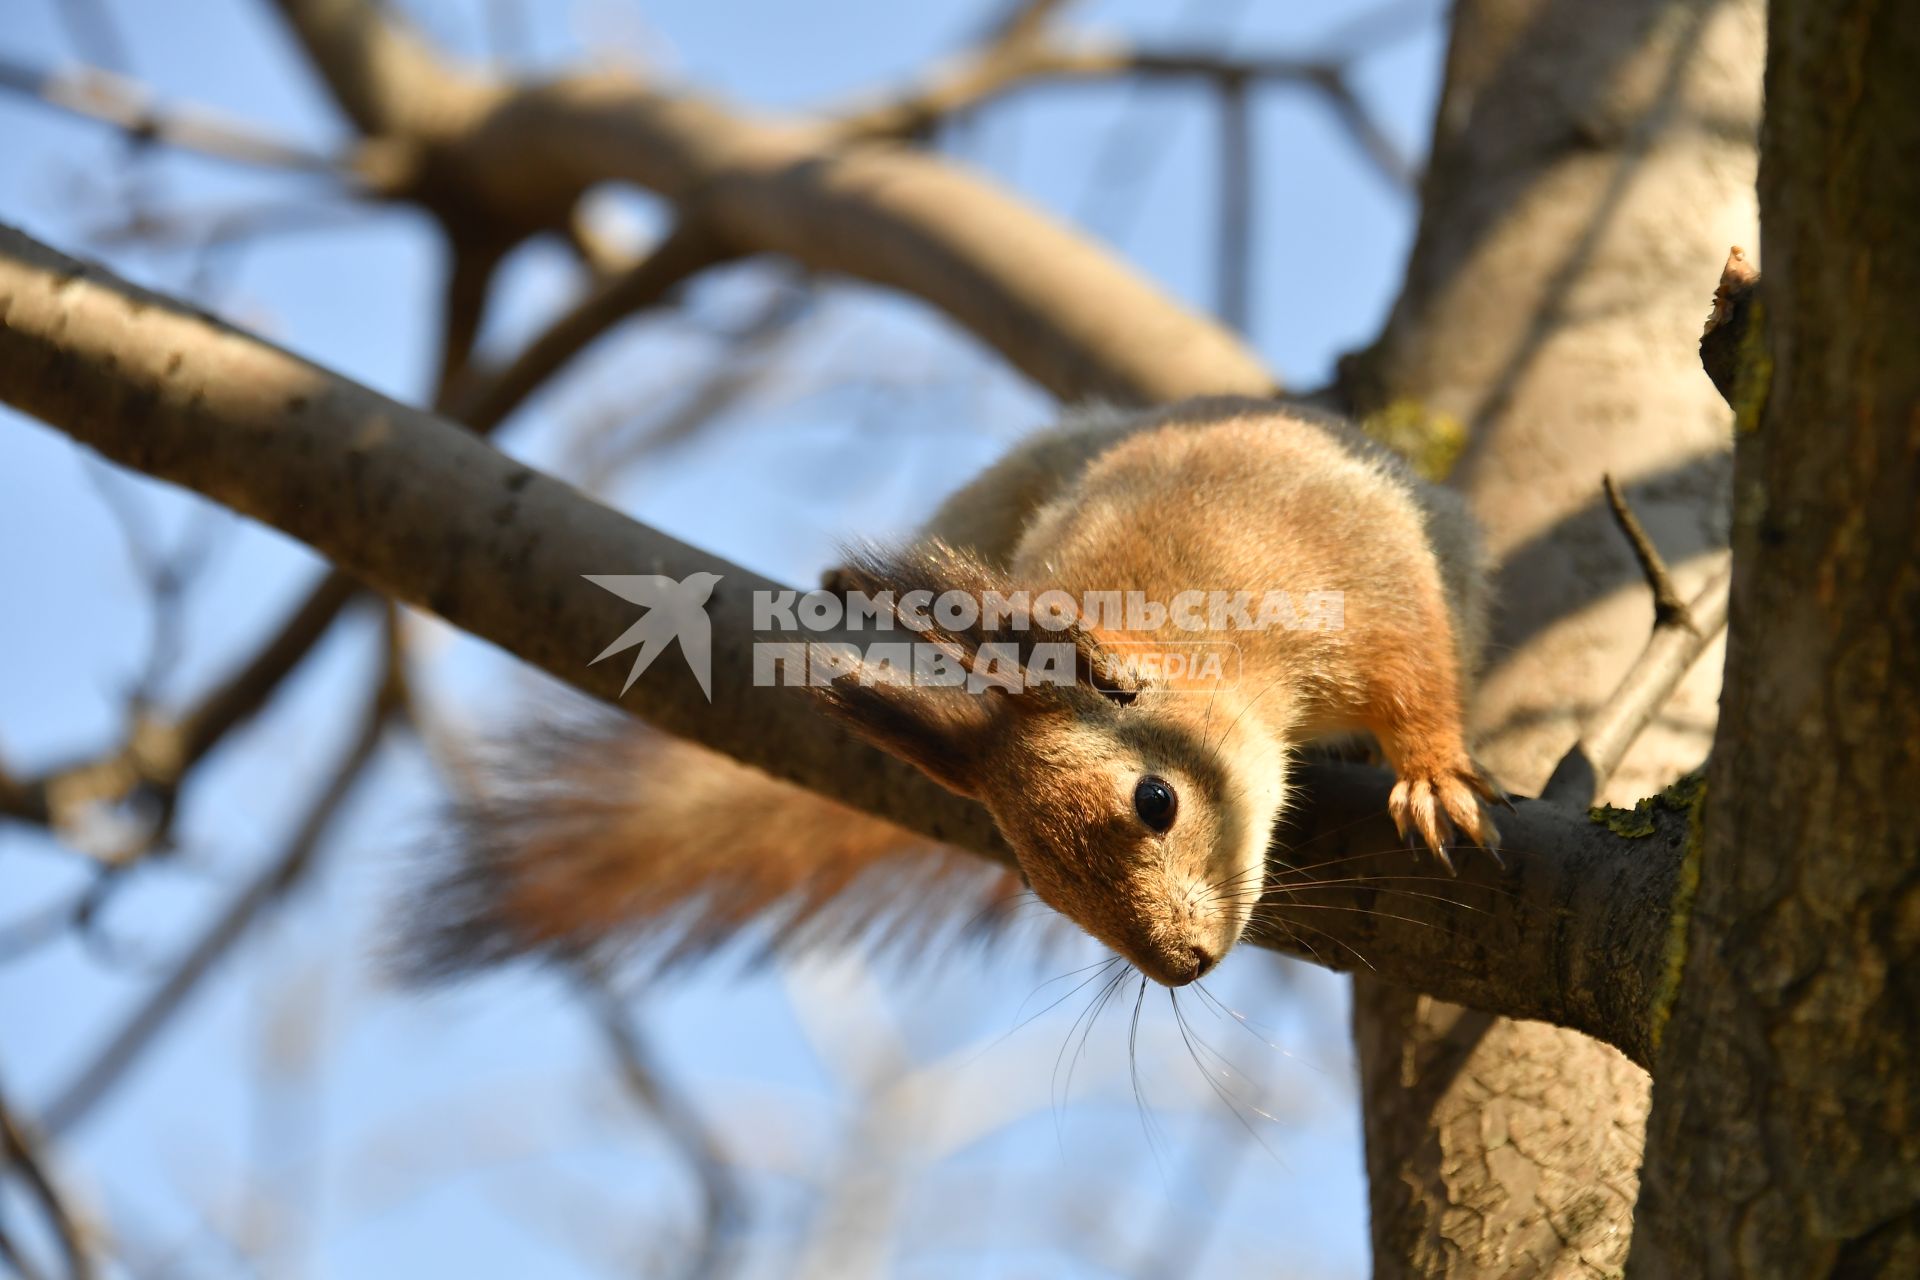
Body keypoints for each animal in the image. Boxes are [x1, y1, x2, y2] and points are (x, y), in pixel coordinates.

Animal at [408, 401, 1497, 990]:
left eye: (1156, 800)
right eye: (1036, 883)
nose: (1181, 963)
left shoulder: (1361, 582)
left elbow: (1417, 673)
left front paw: (1431, 775)